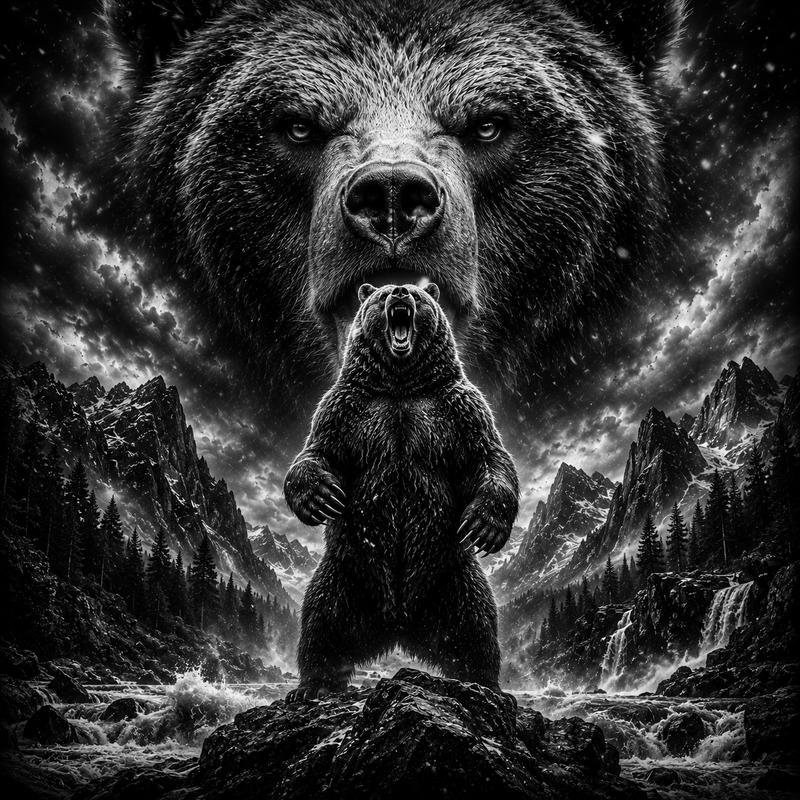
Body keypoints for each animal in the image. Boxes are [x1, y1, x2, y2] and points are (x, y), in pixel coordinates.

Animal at [283, 282, 519, 698]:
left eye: (418, 295)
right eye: (379, 295)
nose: (399, 292)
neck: (400, 385)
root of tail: (398, 624)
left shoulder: (457, 408)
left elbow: (488, 457)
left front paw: (485, 526)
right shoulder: (348, 409)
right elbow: (318, 452)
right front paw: (320, 498)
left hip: (452, 576)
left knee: (476, 626)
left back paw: (483, 681)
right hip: (346, 574)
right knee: (321, 621)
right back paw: (313, 685)